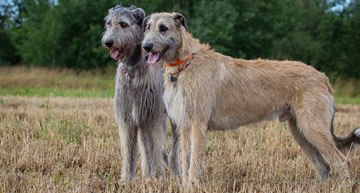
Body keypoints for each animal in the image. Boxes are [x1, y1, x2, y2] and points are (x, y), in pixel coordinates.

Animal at [101, 5, 180, 180]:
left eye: (123, 24)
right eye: (109, 23)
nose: (108, 42)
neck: (133, 71)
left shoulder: (154, 117)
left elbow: (156, 147)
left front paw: (158, 177)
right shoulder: (128, 118)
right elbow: (129, 150)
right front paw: (126, 179)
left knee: (173, 148)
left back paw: (175, 172)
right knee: (146, 146)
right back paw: (146, 173)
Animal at [142, 12, 358, 185]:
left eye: (163, 28)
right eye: (147, 27)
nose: (145, 47)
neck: (185, 63)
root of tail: (323, 77)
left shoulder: (198, 125)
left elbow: (194, 161)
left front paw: (193, 185)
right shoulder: (186, 126)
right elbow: (185, 160)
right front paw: (186, 185)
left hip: (313, 127)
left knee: (342, 161)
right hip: (300, 131)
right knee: (324, 166)